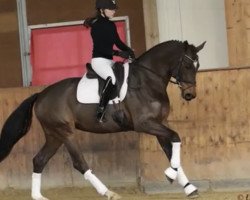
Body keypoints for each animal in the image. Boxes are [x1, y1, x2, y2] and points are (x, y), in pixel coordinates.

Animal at [0, 39, 205, 199]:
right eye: (187, 66)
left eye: (198, 66)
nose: (190, 95)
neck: (148, 79)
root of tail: (42, 94)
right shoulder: (145, 124)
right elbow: (176, 137)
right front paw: (171, 174)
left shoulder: (159, 124)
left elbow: (171, 150)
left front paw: (188, 187)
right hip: (65, 132)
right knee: (79, 162)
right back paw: (108, 192)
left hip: (54, 135)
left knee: (39, 160)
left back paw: (38, 196)